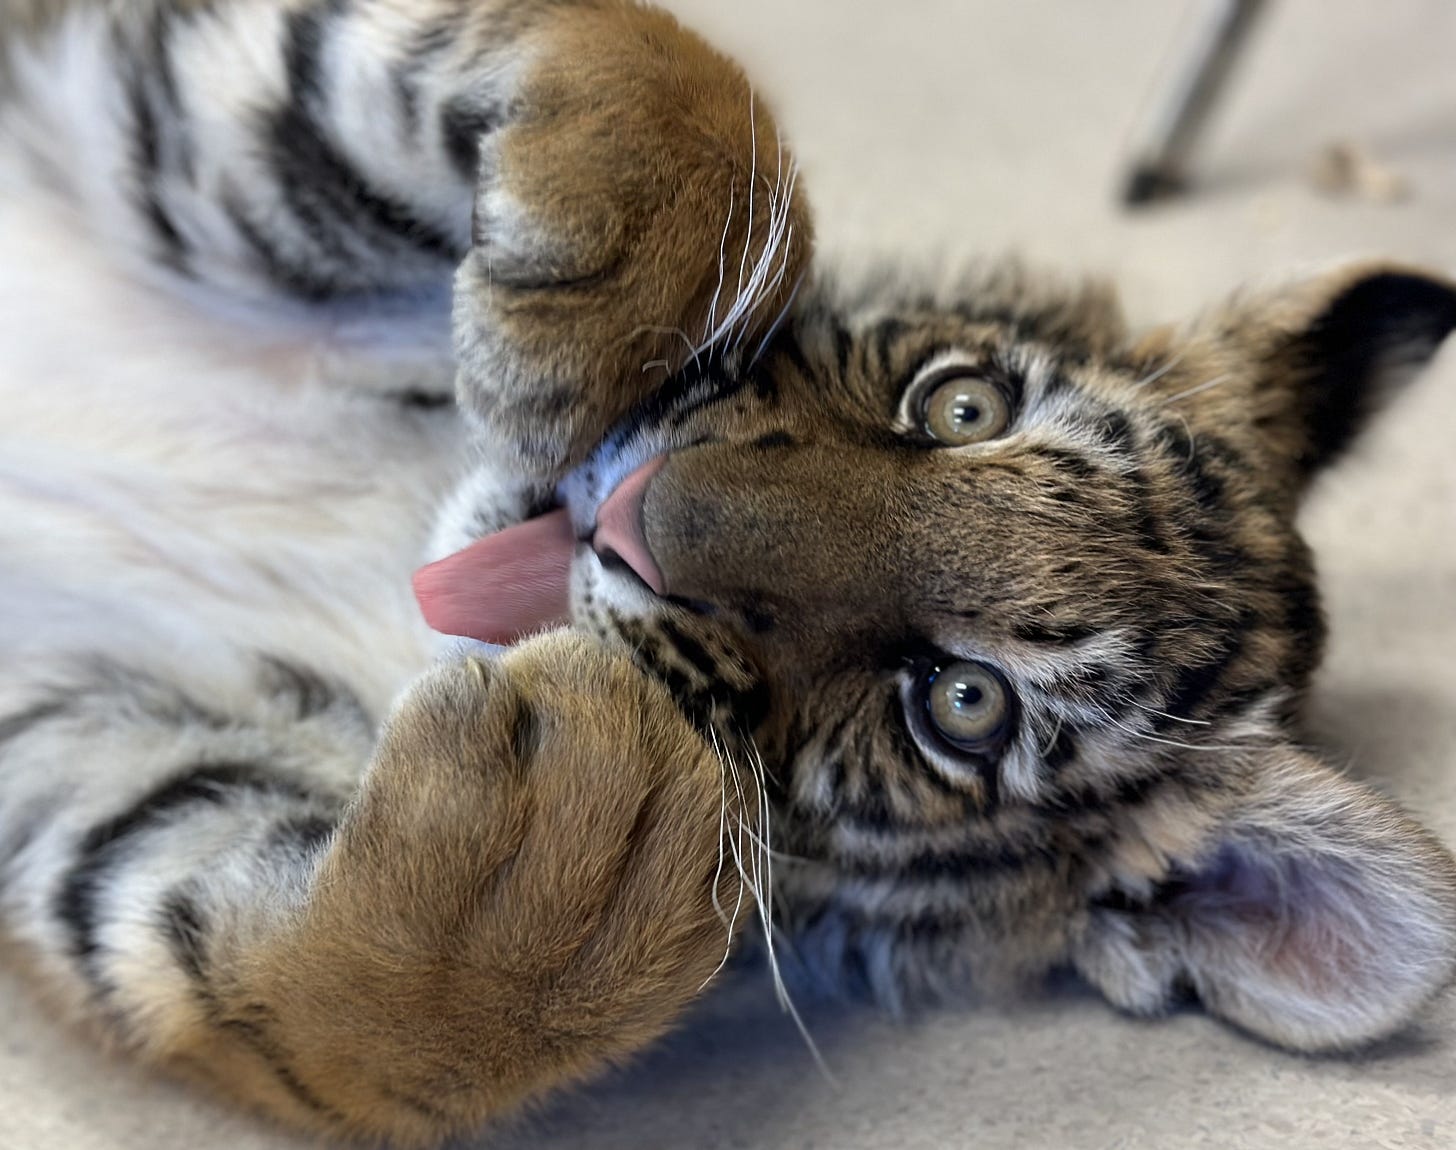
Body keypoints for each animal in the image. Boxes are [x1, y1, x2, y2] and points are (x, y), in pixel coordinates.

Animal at [3, 0, 1455, 1145]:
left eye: (961, 705)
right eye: (962, 404)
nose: (635, 522)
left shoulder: (97, 758)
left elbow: (386, 1020)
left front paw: (581, 822)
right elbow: (669, 71)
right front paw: (584, 316)